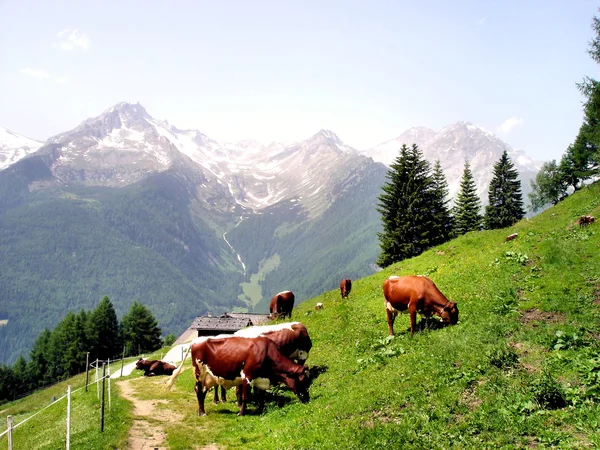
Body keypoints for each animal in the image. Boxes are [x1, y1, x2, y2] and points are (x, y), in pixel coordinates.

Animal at [168, 336, 312, 416]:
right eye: (303, 380)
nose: (308, 399)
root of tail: (196, 341)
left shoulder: (260, 378)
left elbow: (261, 395)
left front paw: (261, 409)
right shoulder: (247, 376)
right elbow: (245, 397)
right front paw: (242, 413)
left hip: (208, 378)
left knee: (202, 392)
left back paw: (202, 410)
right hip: (199, 373)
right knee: (198, 391)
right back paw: (202, 412)